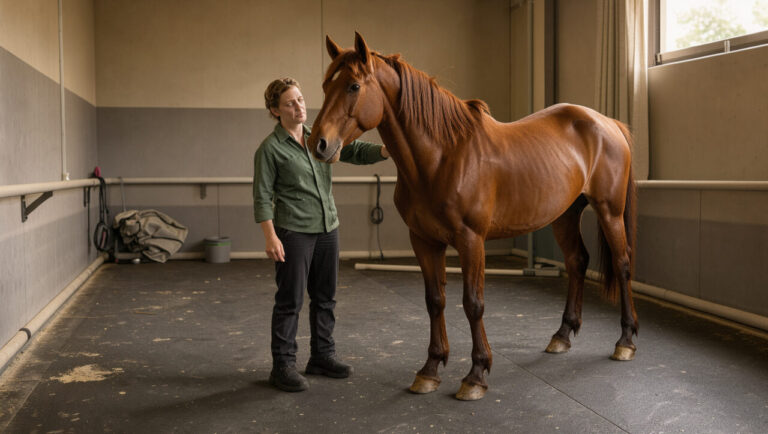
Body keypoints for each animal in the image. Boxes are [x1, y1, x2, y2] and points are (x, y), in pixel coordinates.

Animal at [308, 32, 637, 401]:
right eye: (326, 86)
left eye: (353, 86)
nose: (318, 143)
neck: (442, 157)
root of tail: (609, 124)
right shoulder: (424, 241)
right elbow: (435, 300)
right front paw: (430, 369)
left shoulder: (471, 241)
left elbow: (473, 303)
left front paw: (476, 374)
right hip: (565, 216)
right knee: (578, 262)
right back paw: (562, 335)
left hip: (610, 211)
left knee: (623, 265)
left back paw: (625, 341)